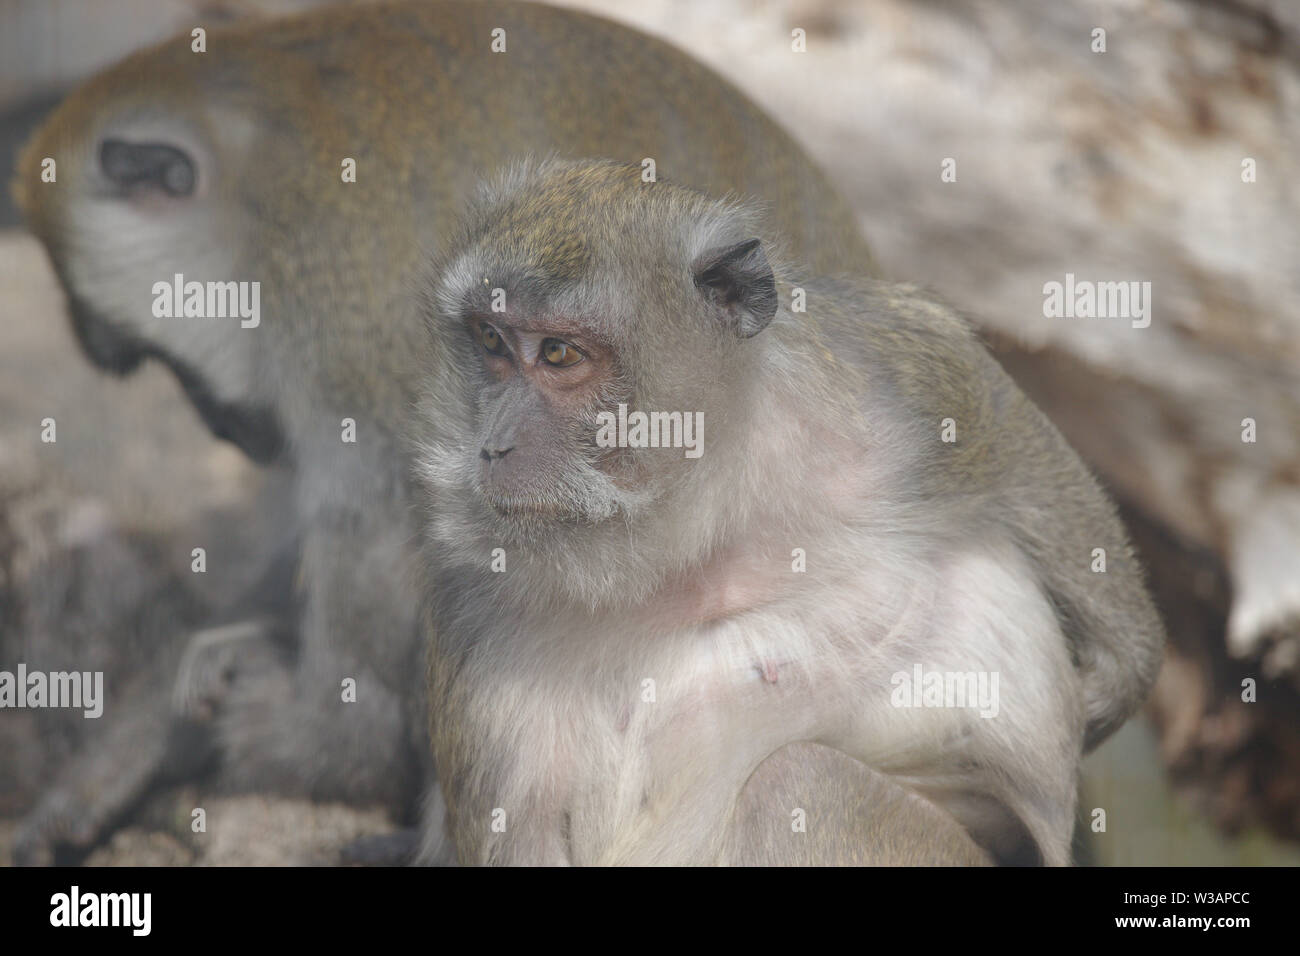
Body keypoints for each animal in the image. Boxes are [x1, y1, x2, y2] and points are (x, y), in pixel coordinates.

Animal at [7, 0, 873, 868]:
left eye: (153, 355)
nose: (218, 426)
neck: (254, 150)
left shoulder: (343, 294)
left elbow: (390, 538)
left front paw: (293, 741)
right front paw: (138, 741)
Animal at [410, 158, 1164, 868]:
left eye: (558, 353)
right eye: (491, 342)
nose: (493, 446)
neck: (696, 528)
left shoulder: (891, 386)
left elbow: (1007, 427)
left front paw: (1122, 676)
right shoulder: (473, 602)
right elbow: (517, 834)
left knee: (800, 779)